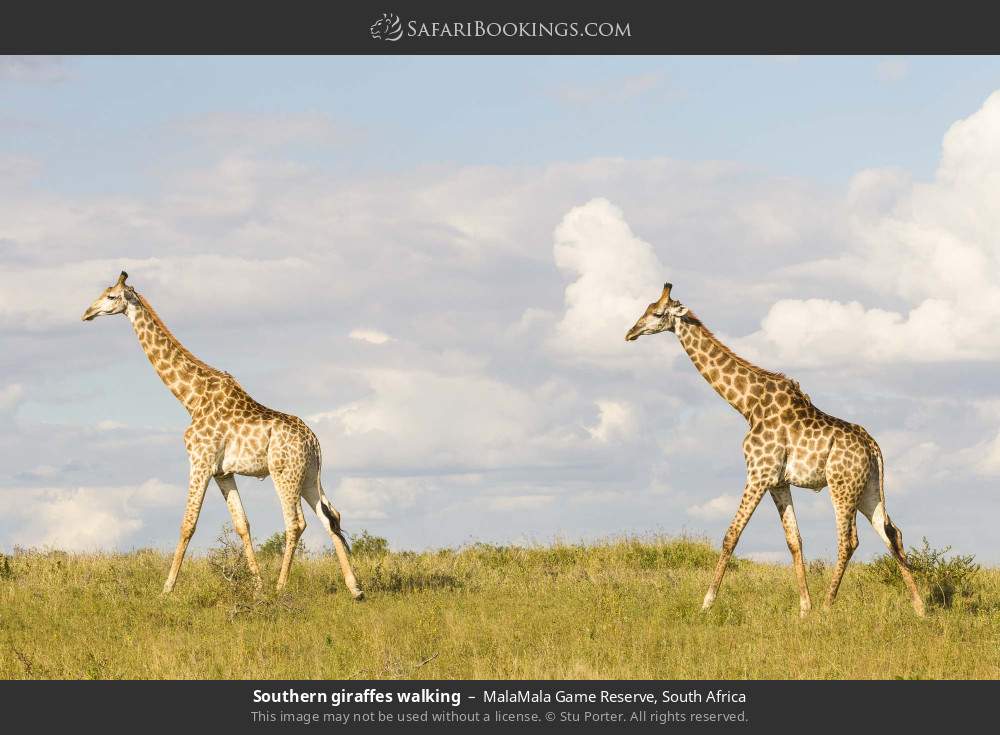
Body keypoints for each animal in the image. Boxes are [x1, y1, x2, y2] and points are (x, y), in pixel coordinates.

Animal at [81, 271, 364, 599]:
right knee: (331, 517)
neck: (190, 398)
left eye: (111, 296)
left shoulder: (200, 461)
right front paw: (257, 587)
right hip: (308, 476)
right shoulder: (223, 472)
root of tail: (314, 442)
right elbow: (242, 524)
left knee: (296, 523)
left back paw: (281, 588)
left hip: (285, 473)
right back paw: (355, 589)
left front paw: (166, 589)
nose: (86, 313)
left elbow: (188, 523)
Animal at [626, 283, 924, 617]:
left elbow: (731, 535)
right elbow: (795, 540)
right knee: (892, 532)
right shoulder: (778, 482)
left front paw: (706, 603)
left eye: (657, 313)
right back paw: (919, 607)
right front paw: (804, 609)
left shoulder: (758, 474)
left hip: (842, 485)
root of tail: (873, 447)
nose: (630, 332)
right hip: (868, 488)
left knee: (849, 540)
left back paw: (828, 606)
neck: (747, 404)